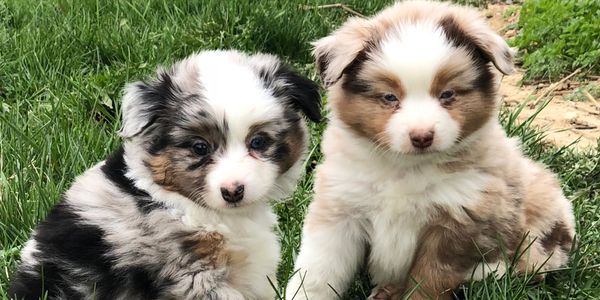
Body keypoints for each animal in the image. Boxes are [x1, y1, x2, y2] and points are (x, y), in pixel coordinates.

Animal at [286, 1, 576, 298]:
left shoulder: (454, 226)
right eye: (389, 97)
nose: (422, 137)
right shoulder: (341, 209)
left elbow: (429, 280)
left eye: (447, 94)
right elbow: (318, 271)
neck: (404, 167)